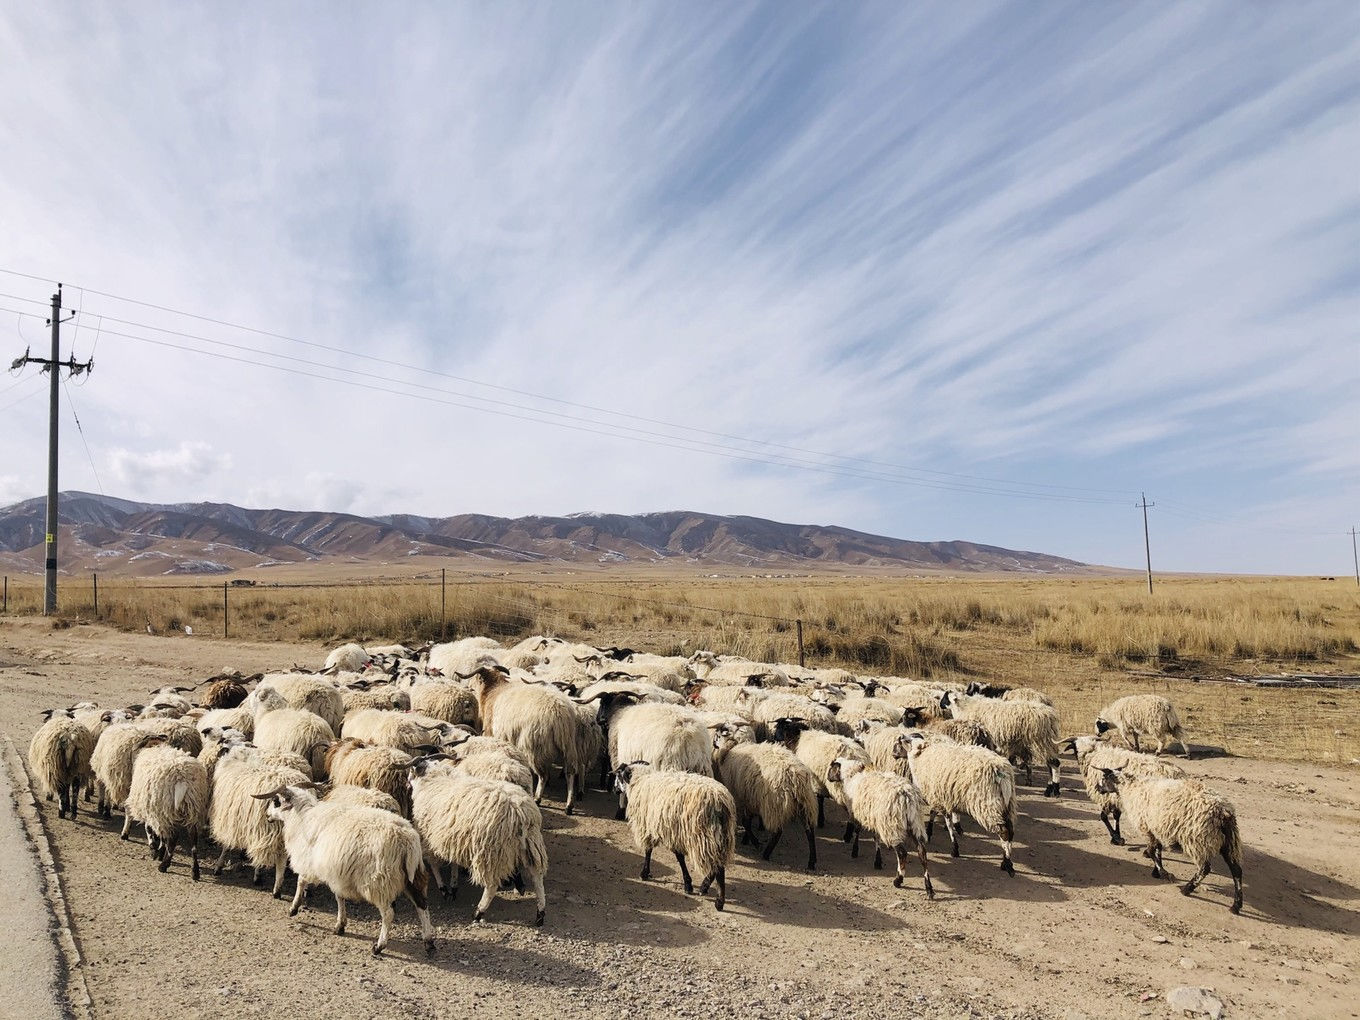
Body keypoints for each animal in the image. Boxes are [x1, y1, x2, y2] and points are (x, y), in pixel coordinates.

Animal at [614, 761, 739, 913]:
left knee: (716, 867)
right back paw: (706, 888)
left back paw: (717, 900)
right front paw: (688, 883)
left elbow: (652, 852)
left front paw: (645, 873)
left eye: (619, 776)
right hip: (722, 836)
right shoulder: (672, 832)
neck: (641, 779)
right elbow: (677, 857)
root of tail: (719, 801)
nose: (614, 790)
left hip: (702, 837)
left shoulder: (650, 827)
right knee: (718, 864)